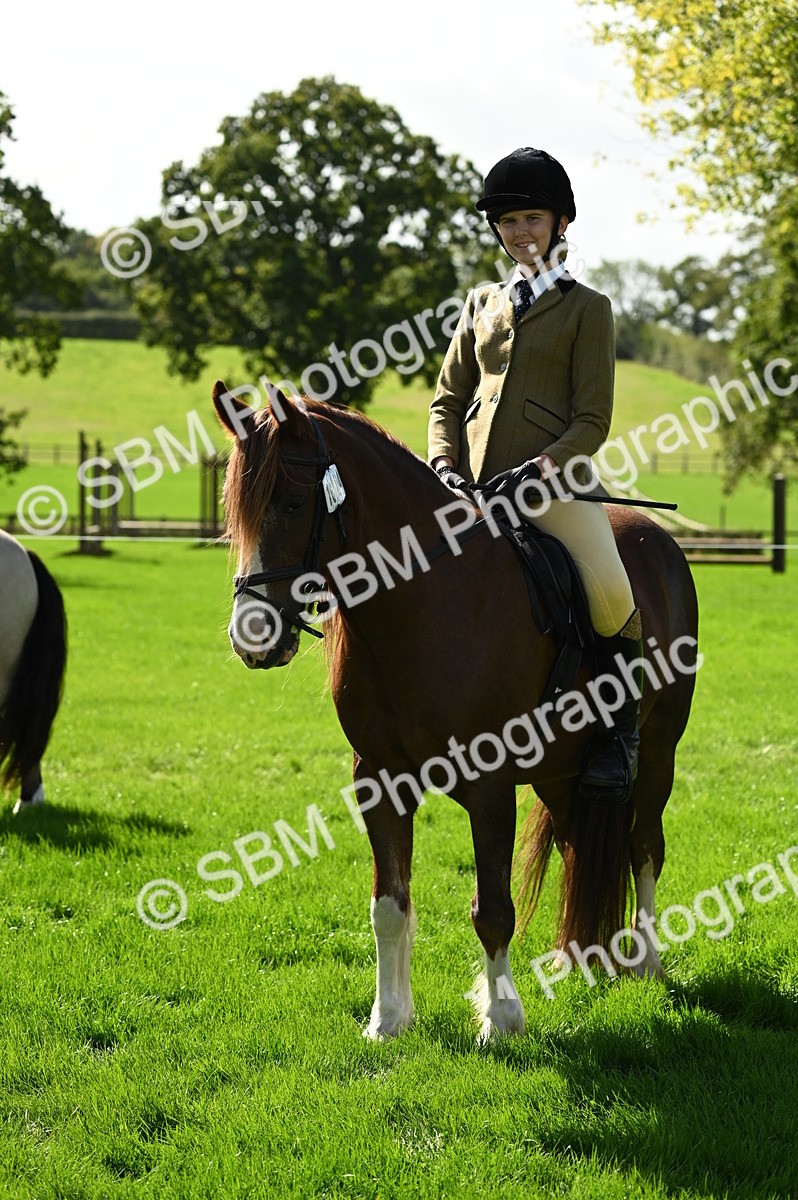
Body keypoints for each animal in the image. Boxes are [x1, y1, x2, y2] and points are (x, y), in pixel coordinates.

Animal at [212, 380, 699, 1044]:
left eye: (290, 504)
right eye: (235, 509)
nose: (252, 638)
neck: (421, 602)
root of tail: (660, 540)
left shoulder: (490, 782)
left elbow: (492, 909)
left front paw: (501, 1019)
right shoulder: (378, 778)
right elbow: (388, 906)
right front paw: (388, 1020)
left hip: (658, 754)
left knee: (645, 845)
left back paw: (646, 963)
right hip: (561, 772)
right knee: (577, 845)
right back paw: (578, 960)